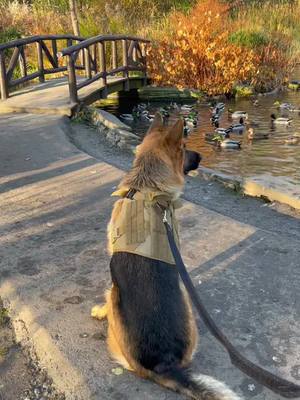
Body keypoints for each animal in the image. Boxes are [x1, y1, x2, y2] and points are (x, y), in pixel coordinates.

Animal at [92, 113, 243, 400]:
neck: (146, 186)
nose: (201, 157)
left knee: (109, 297)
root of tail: (165, 364)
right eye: (184, 149)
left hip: (117, 298)